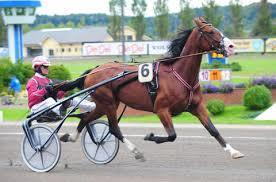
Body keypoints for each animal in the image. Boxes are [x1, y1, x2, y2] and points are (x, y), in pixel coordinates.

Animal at [59, 16, 244, 159]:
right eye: (211, 32)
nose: (231, 46)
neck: (180, 75)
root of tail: (93, 71)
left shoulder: (196, 107)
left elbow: (213, 130)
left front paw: (234, 151)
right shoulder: (161, 109)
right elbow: (172, 135)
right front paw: (150, 136)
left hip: (105, 104)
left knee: (86, 118)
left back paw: (70, 137)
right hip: (108, 103)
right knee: (113, 128)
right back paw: (136, 151)